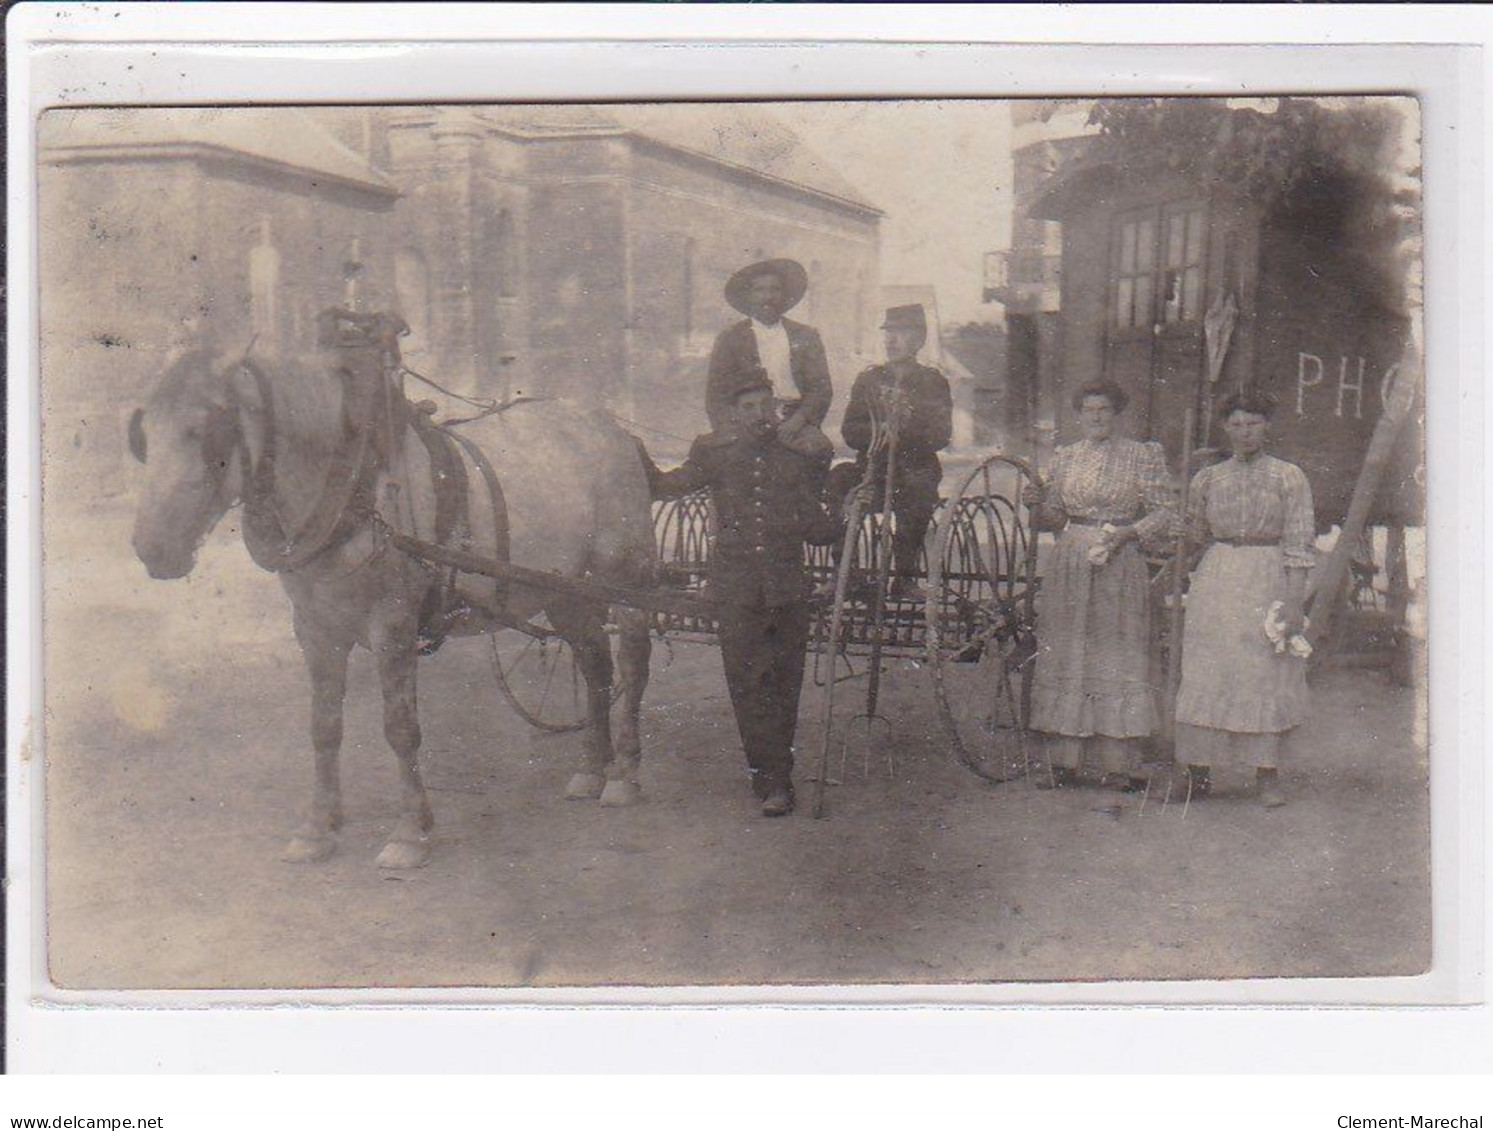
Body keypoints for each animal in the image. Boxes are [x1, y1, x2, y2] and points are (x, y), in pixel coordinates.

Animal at [131, 332, 656, 871]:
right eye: (144, 434)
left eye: (203, 430)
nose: (152, 547)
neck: (353, 487)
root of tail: (611, 428)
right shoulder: (316, 630)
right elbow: (324, 726)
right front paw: (318, 829)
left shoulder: (393, 625)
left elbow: (400, 728)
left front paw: (410, 832)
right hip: (566, 592)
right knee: (595, 666)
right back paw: (592, 769)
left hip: (623, 580)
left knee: (633, 665)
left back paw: (624, 774)